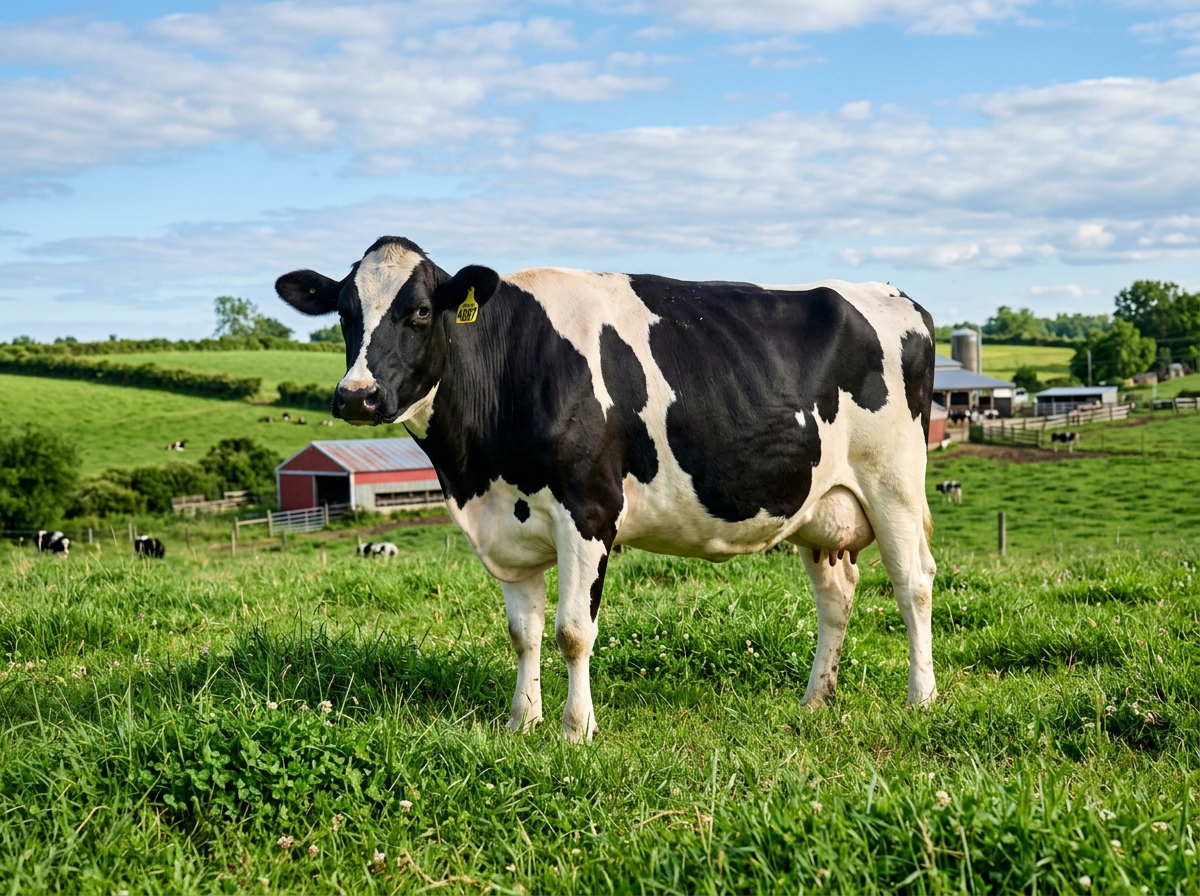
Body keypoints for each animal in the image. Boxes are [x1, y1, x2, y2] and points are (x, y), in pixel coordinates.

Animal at [276, 236, 939, 742]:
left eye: (417, 312)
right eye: (345, 313)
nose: (357, 396)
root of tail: (896, 296)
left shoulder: (589, 510)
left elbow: (572, 631)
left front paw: (576, 730)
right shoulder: (506, 525)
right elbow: (523, 634)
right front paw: (522, 723)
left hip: (894, 484)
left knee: (913, 584)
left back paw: (921, 697)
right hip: (821, 505)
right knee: (837, 596)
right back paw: (816, 699)